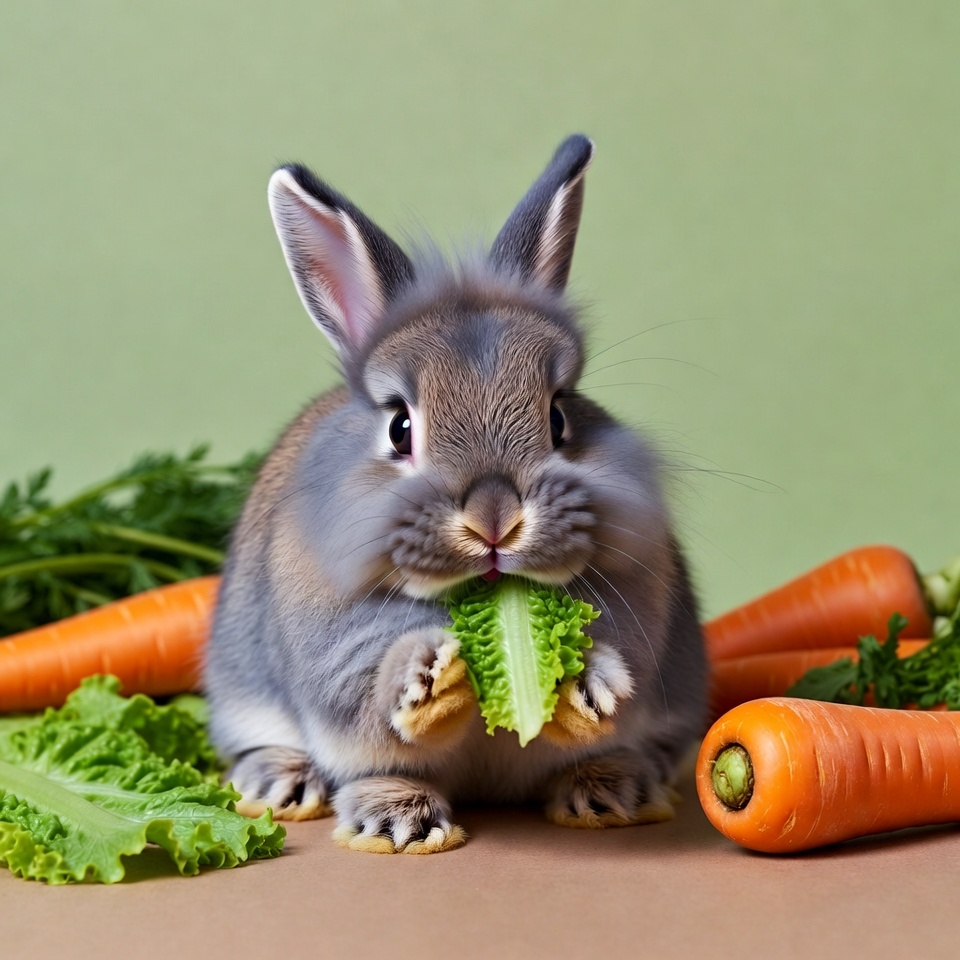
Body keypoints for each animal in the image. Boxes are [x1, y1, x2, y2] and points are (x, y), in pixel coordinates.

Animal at [203, 134, 708, 854]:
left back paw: (611, 793)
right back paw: (359, 810)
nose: (494, 521)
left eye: (560, 416)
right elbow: (375, 700)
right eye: (399, 427)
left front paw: (589, 682)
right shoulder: (338, 659)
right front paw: (425, 673)